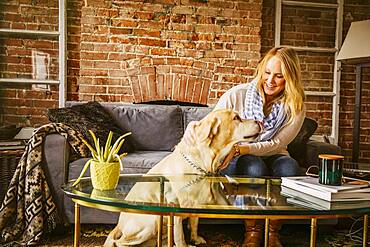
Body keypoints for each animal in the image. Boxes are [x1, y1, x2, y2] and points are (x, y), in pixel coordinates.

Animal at [104, 109, 260, 246]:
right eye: (236, 118)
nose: (260, 121)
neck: (203, 162)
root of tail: (119, 224)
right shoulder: (177, 210)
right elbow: (179, 236)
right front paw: (185, 244)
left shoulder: (197, 204)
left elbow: (194, 223)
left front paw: (195, 239)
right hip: (152, 220)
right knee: (119, 242)